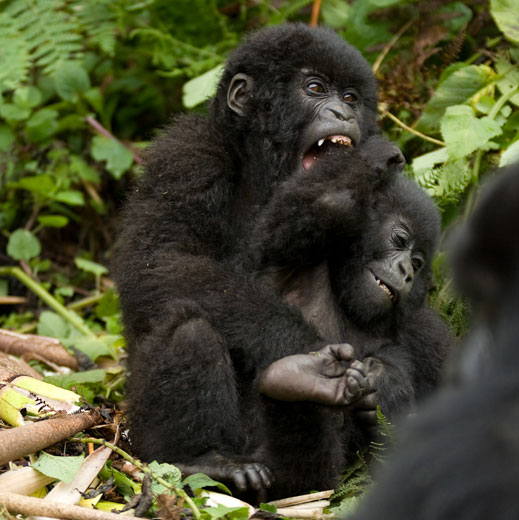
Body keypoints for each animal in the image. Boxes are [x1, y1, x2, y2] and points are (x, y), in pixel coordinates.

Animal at [114, 23, 446, 500]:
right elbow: (159, 263)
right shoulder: (186, 155)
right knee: (190, 324)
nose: (343, 114)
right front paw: (299, 344)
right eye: (315, 88)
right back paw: (203, 457)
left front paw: (384, 382)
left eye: (351, 97)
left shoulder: (428, 332)